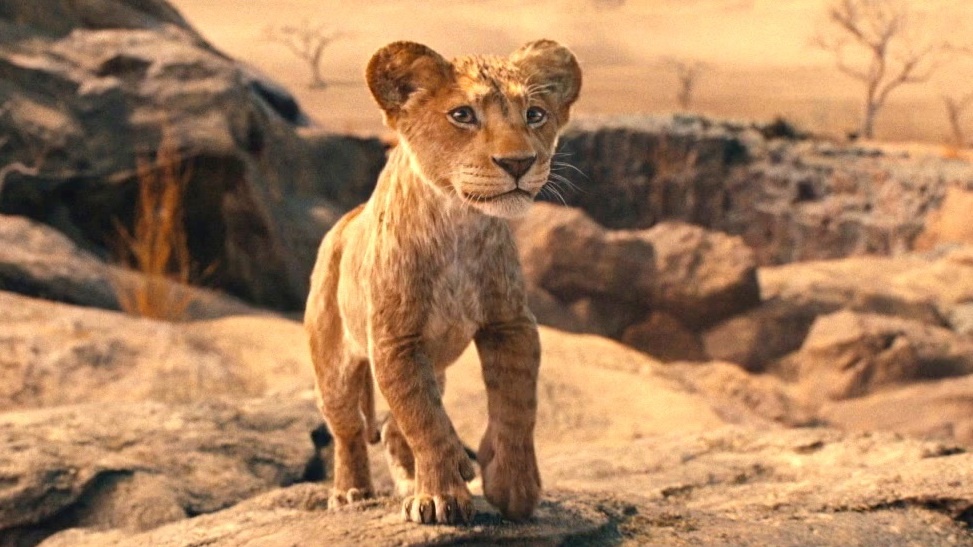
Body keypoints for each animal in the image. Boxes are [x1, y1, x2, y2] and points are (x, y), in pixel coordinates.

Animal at [304, 39, 582, 525]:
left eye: (535, 114)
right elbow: (425, 420)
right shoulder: (394, 340)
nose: (518, 163)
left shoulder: (511, 324)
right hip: (335, 364)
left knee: (394, 429)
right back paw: (351, 492)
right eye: (462, 115)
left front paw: (513, 488)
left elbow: (516, 406)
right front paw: (440, 497)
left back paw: (410, 480)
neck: (459, 223)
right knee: (350, 429)